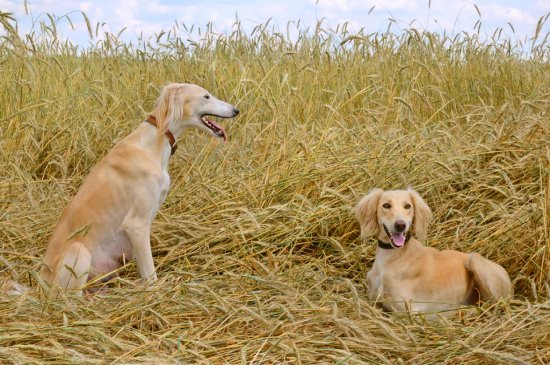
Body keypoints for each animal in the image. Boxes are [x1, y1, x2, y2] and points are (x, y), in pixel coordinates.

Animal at [38, 82, 237, 292]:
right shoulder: (136, 225)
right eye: (206, 96)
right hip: (79, 252)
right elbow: (151, 275)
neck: (152, 143)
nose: (236, 110)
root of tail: (39, 285)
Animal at [356, 188, 516, 312]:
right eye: (386, 205)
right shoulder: (374, 303)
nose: (400, 225)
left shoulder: (409, 311)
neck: (390, 258)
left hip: (474, 259)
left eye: (407, 206)